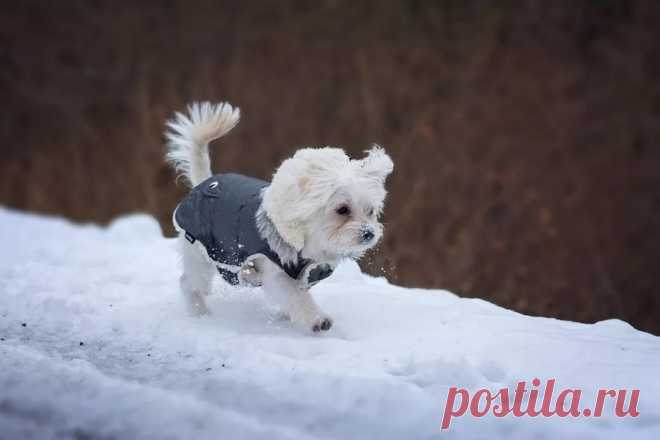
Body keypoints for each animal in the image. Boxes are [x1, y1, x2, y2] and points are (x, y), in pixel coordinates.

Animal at [165, 101, 392, 332]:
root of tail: (205, 182)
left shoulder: (306, 274)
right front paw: (317, 319)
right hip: (199, 254)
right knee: (190, 283)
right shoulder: (277, 273)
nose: (369, 233)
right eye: (342, 210)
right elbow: (297, 297)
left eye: (371, 211)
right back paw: (199, 312)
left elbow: (294, 298)